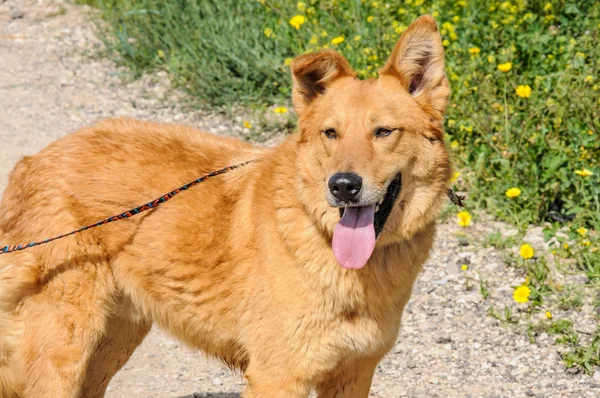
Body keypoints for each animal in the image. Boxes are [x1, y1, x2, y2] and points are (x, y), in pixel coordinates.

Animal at [0, 15, 450, 398]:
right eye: (331, 133)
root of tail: (31, 162)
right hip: (64, 348)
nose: (342, 187)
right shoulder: (277, 377)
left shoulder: (353, 374)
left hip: (117, 336)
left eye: (384, 131)